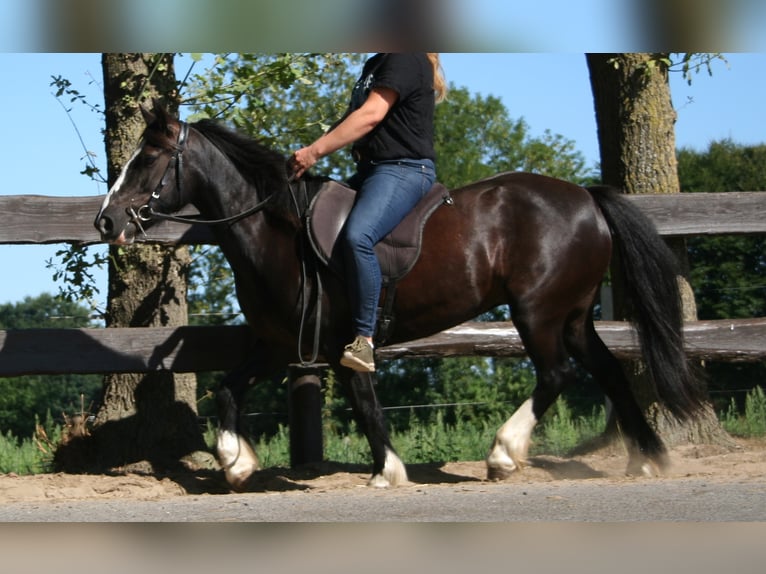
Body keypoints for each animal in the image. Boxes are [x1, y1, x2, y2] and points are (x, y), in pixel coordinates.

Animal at [93, 103, 704, 490]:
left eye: (148, 159)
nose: (106, 222)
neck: (277, 230)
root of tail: (586, 198)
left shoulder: (340, 338)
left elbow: (364, 401)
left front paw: (387, 469)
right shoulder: (278, 342)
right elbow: (227, 388)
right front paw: (236, 464)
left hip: (539, 311)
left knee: (557, 374)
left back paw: (504, 454)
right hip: (574, 314)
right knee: (609, 370)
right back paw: (648, 459)